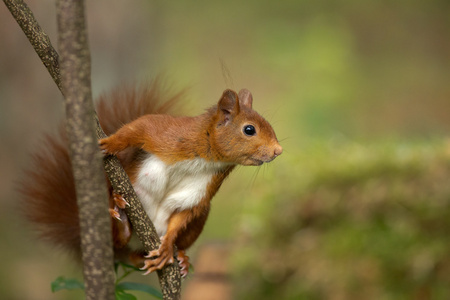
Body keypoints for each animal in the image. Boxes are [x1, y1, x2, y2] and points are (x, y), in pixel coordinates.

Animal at [22, 81, 282, 276]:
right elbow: (137, 128)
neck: (206, 157)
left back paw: (179, 256)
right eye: (249, 130)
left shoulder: (200, 191)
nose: (278, 151)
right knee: (119, 240)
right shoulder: (165, 133)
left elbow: (183, 215)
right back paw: (120, 215)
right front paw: (110, 144)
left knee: (134, 257)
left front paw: (167, 246)